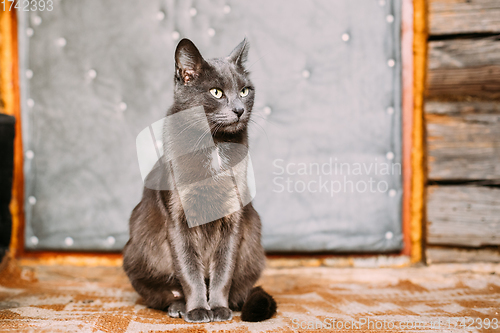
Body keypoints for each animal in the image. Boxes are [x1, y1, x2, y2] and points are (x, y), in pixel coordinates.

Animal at [122, 38, 278, 322]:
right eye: (216, 92)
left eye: (245, 91)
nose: (239, 109)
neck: (214, 144)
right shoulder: (178, 221)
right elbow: (190, 270)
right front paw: (197, 310)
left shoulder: (233, 220)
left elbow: (223, 272)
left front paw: (218, 308)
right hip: (136, 253)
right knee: (162, 293)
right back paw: (179, 307)